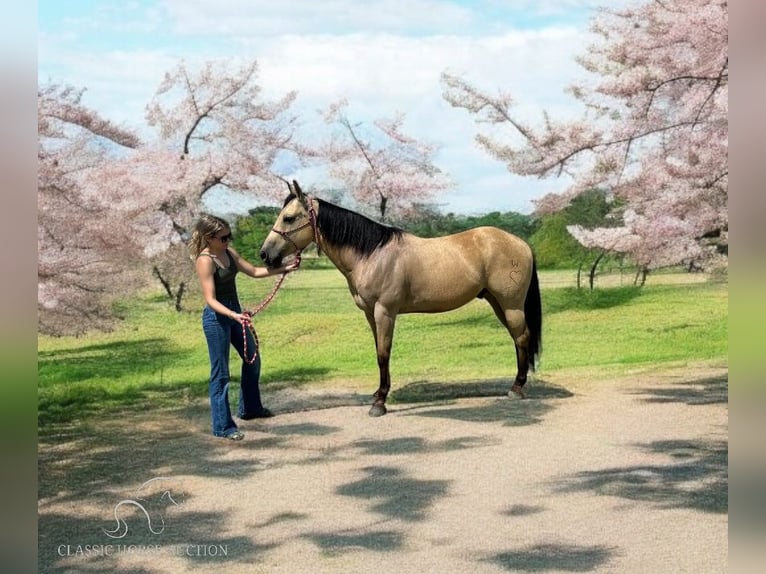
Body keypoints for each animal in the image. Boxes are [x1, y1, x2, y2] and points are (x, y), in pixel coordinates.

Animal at [260, 182, 544, 416]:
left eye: (288, 218)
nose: (265, 254)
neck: (371, 254)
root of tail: (521, 243)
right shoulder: (370, 314)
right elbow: (378, 350)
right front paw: (378, 393)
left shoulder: (384, 311)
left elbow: (383, 354)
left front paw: (380, 403)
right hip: (497, 303)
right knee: (518, 339)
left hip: (511, 304)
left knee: (522, 338)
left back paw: (516, 389)